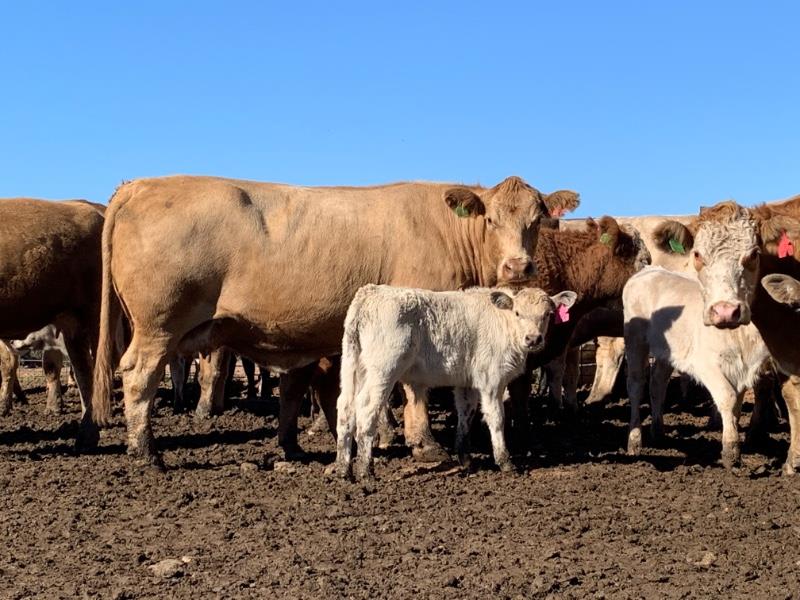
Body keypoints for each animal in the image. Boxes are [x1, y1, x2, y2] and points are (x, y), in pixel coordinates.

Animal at [333, 284, 577, 480]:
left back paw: (343, 469)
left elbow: (466, 414)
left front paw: (465, 459)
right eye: (518, 313)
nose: (533, 339)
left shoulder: (467, 382)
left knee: (345, 408)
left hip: (355, 366)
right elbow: (496, 418)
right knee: (366, 409)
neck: (504, 324)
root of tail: (370, 292)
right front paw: (505, 462)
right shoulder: (492, 381)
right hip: (383, 370)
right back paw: (365, 471)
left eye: (548, 314)